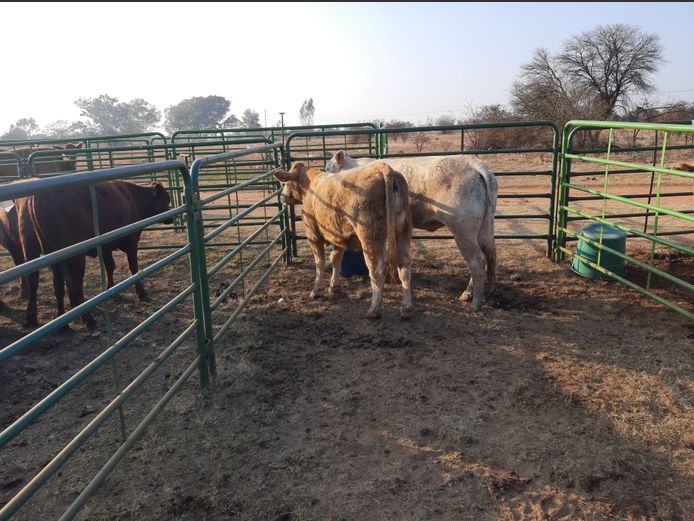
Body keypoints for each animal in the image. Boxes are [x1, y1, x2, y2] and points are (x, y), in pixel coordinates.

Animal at [17, 180, 171, 330]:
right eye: (166, 198)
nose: (170, 217)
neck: (132, 198)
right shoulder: (132, 240)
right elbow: (134, 268)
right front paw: (142, 293)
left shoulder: (106, 246)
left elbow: (110, 267)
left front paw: (111, 290)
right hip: (75, 256)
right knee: (74, 283)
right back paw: (88, 318)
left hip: (49, 253)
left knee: (55, 283)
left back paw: (60, 321)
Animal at [274, 161, 414, 316]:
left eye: (286, 182)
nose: (282, 197)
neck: (310, 185)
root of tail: (381, 167)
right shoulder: (339, 238)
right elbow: (335, 260)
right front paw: (333, 286)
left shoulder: (313, 235)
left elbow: (320, 263)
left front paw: (316, 291)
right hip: (402, 230)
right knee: (404, 266)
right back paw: (406, 306)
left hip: (369, 236)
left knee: (377, 270)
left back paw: (374, 309)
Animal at [328, 152, 500, 310]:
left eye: (329, 168)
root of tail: (473, 162)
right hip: (484, 227)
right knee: (485, 256)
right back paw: (473, 295)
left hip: (463, 230)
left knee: (477, 260)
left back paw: (474, 302)